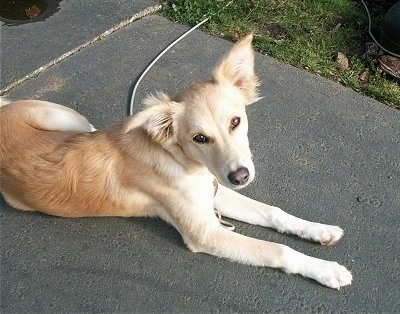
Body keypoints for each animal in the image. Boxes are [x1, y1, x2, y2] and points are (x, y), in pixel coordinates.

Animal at [0, 34, 352, 290]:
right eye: (199, 138)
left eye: (236, 121)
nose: (240, 176)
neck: (179, 159)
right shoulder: (206, 233)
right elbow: (278, 250)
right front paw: (326, 270)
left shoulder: (213, 188)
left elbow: (273, 212)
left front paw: (318, 230)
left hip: (69, 120)